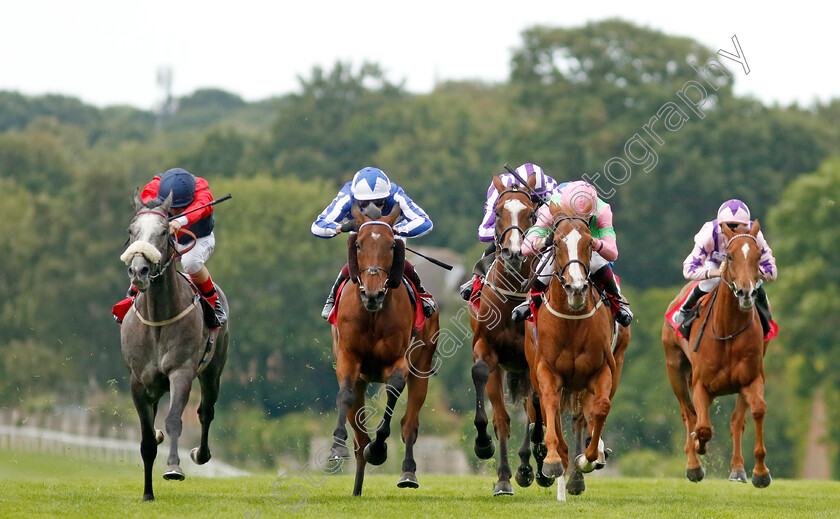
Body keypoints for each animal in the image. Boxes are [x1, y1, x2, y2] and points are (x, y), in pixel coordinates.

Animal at [119, 192, 230, 504]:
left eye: (164, 231)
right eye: (132, 230)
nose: (139, 270)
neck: (158, 318)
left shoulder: (181, 372)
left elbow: (175, 421)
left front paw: (173, 467)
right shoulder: (138, 381)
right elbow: (146, 438)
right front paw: (147, 493)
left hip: (213, 371)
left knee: (205, 411)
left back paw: (200, 454)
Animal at [326, 202, 440, 496]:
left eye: (391, 245)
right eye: (358, 245)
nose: (373, 293)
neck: (373, 315)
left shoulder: (400, 360)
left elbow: (393, 391)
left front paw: (378, 449)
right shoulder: (348, 358)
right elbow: (344, 396)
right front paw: (336, 447)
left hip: (422, 370)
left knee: (409, 424)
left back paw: (407, 472)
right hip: (363, 381)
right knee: (359, 436)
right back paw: (356, 486)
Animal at [470, 174, 556, 496]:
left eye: (531, 214)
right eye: (497, 212)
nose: (514, 252)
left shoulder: (535, 359)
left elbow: (536, 410)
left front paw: (534, 459)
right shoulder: (486, 348)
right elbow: (496, 413)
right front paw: (485, 446)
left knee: (535, 412)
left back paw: (535, 466)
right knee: (506, 418)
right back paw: (508, 474)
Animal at [524, 209, 632, 498]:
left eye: (589, 243)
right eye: (556, 244)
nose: (576, 288)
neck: (571, 320)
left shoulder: (601, 371)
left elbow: (601, 408)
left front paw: (588, 458)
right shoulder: (546, 370)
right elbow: (550, 404)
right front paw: (551, 460)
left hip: (615, 364)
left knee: (587, 415)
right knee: (550, 411)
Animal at [664, 221, 776, 490]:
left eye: (758, 257)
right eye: (730, 256)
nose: (746, 294)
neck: (728, 331)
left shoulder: (751, 379)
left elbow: (756, 411)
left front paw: (760, 472)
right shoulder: (700, 384)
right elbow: (703, 427)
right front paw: (697, 446)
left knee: (736, 421)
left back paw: (737, 469)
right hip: (675, 369)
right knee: (688, 413)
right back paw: (694, 464)